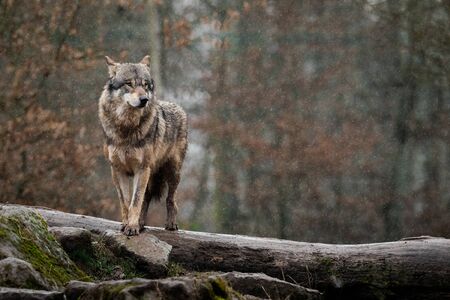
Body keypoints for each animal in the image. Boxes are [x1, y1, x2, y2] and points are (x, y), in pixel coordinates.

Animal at [98, 55, 188, 236]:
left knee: (171, 199)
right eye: (129, 83)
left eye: (145, 85)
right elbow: (126, 202)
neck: (127, 128)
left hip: (172, 172)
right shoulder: (117, 170)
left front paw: (132, 227)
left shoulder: (141, 168)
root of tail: (178, 107)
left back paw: (170, 224)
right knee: (146, 199)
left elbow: (136, 201)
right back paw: (141, 224)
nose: (144, 100)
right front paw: (127, 224)